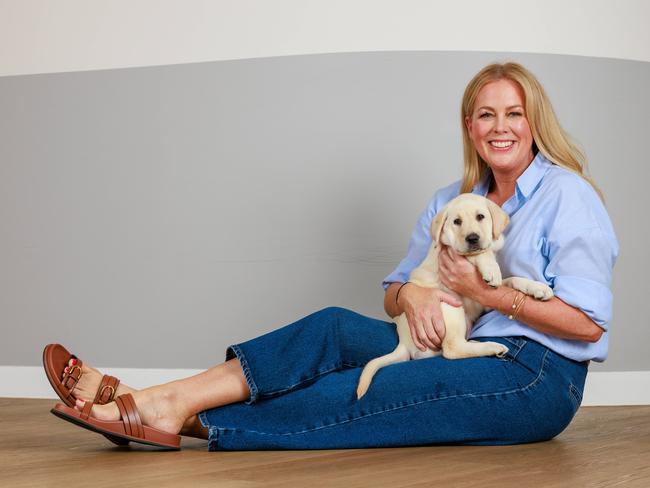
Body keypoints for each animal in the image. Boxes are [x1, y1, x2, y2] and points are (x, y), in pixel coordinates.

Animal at [354, 194, 552, 400]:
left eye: (481, 217)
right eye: (457, 221)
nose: (472, 238)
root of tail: (404, 343)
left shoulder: (485, 300)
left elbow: (512, 279)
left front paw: (537, 288)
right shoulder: (448, 252)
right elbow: (480, 254)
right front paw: (491, 269)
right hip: (450, 307)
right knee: (452, 350)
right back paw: (492, 347)